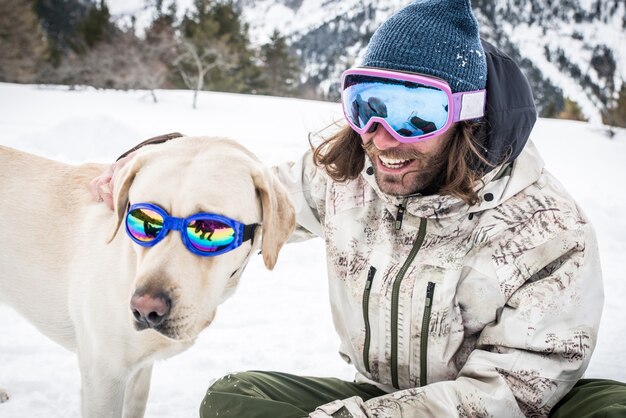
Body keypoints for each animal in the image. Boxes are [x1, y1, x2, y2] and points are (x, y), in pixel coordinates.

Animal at [0, 136, 294, 414]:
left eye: (208, 227)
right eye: (143, 220)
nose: (145, 309)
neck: (132, 264)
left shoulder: (139, 373)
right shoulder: (103, 374)